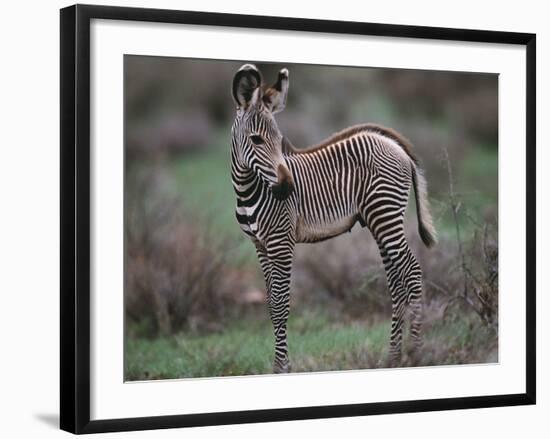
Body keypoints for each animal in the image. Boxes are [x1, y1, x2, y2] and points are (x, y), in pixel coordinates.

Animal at [231, 63, 438, 372]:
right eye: (256, 140)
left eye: (280, 141)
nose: (288, 189)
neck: (248, 189)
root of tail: (394, 144)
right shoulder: (260, 245)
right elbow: (270, 303)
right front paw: (278, 365)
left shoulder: (281, 242)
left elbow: (281, 304)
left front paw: (282, 367)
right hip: (379, 221)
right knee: (396, 283)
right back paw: (393, 358)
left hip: (386, 216)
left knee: (411, 273)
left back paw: (416, 356)